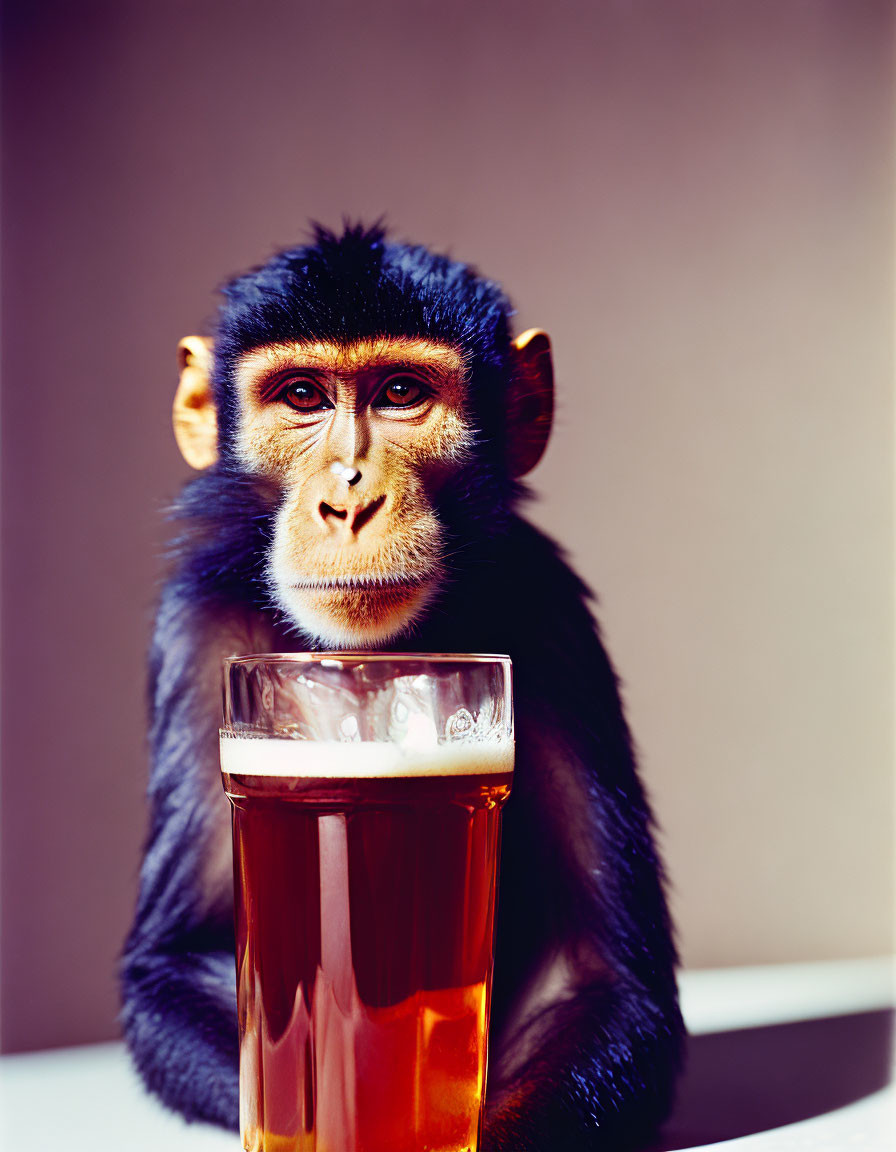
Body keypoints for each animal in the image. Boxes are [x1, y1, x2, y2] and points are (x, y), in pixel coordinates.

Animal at [120, 220, 686, 1147]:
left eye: (399, 392)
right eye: (303, 396)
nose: (348, 499)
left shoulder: (553, 614)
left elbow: (598, 977)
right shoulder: (198, 627)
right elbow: (183, 957)